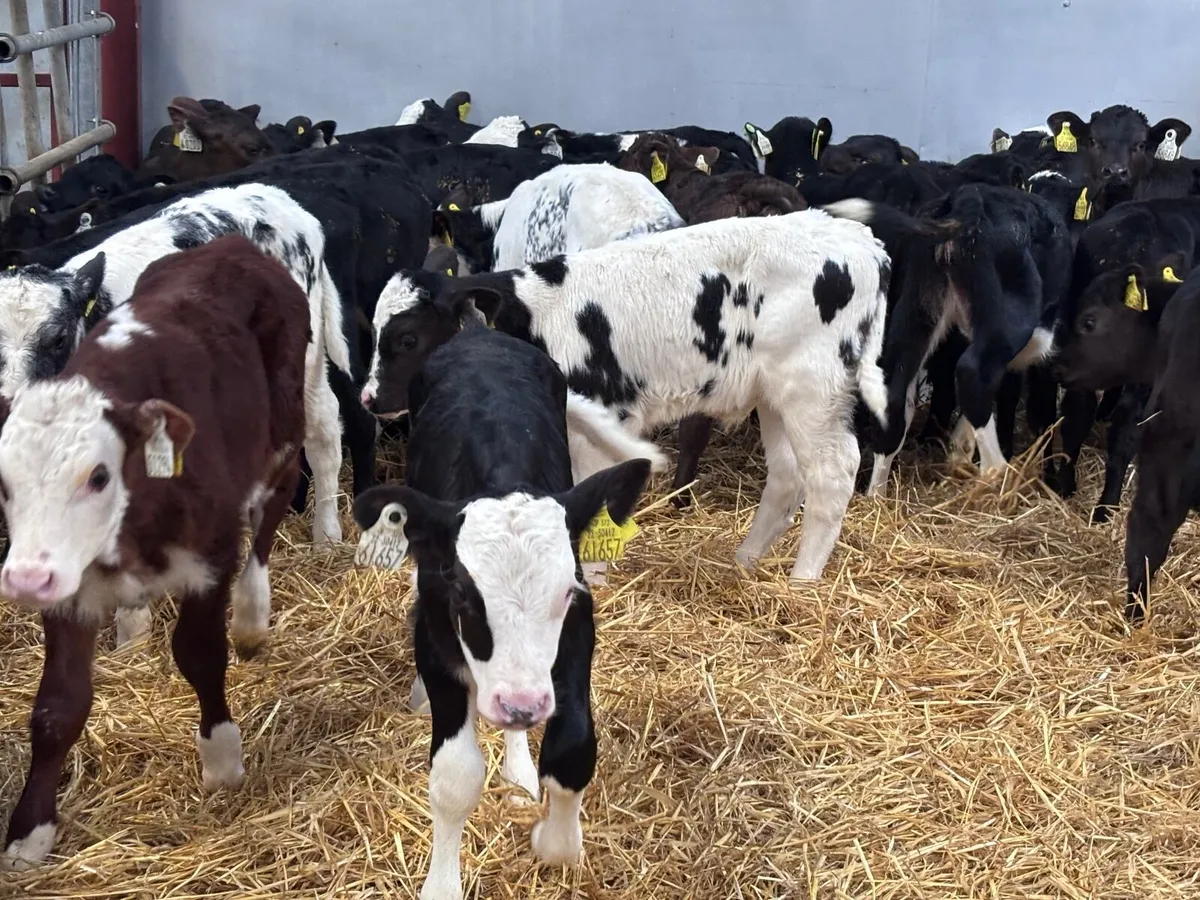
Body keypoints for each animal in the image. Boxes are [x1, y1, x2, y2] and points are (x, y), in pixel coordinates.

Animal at [0, 235, 309, 867]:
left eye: (97, 475)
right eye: (5, 483)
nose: (24, 580)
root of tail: (234, 245)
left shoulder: (209, 555)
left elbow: (199, 653)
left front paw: (222, 757)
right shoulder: (70, 587)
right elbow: (57, 706)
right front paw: (30, 831)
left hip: (283, 427)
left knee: (273, 504)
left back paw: (252, 615)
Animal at [352, 322, 653, 900]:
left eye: (565, 592)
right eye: (462, 595)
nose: (521, 705)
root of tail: (479, 333)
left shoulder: (575, 640)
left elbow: (573, 751)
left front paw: (552, 840)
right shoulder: (438, 643)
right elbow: (455, 777)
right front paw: (442, 885)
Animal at [360, 210, 891, 583]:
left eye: (407, 339)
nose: (368, 399)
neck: (531, 317)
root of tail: (861, 241)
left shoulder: (598, 420)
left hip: (812, 388)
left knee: (832, 473)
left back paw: (803, 581)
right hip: (775, 395)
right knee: (786, 477)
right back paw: (744, 562)